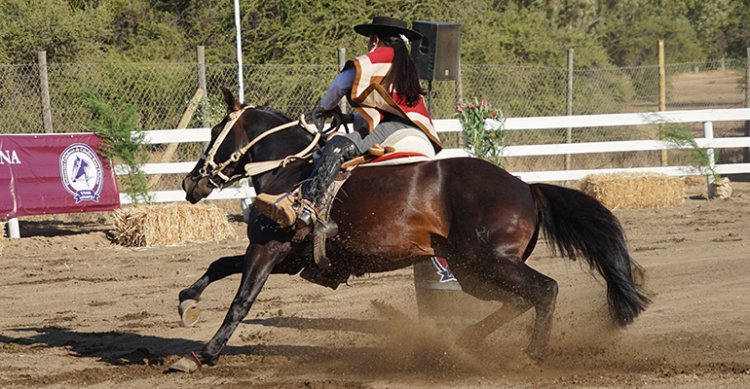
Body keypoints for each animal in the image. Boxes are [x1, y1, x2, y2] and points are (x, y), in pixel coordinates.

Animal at [172, 87, 652, 370]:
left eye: (216, 130)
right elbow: (219, 264)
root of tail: (523, 186)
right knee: (517, 300)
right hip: (472, 270)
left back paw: (531, 353)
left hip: (490, 261)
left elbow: (241, 300)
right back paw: (460, 343)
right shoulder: (288, 258)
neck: (293, 171)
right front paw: (187, 300)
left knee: (544, 290)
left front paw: (204, 354)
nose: (191, 181)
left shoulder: (268, 250)